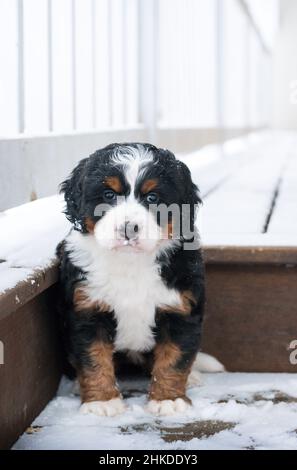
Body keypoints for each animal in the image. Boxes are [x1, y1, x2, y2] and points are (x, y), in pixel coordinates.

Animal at [57, 142, 206, 414]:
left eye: (152, 198)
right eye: (108, 195)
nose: (128, 228)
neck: (130, 262)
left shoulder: (180, 310)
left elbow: (174, 358)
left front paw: (168, 399)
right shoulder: (87, 311)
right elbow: (93, 359)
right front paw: (102, 402)